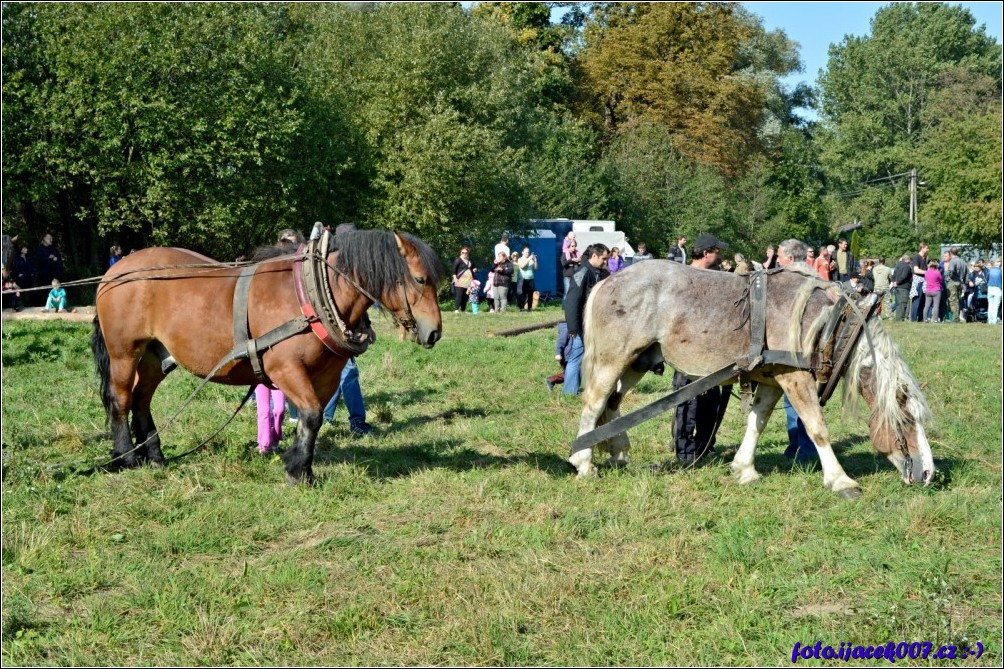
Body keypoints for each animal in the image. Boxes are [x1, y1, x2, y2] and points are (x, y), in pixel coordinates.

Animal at [91, 227, 443, 482]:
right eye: (420, 279)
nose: (434, 333)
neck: (311, 294)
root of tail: (114, 272)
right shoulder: (285, 368)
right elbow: (311, 415)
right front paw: (297, 470)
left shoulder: (327, 376)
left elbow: (312, 421)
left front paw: (303, 468)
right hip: (124, 352)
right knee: (121, 399)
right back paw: (127, 457)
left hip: (156, 356)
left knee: (142, 399)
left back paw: (155, 456)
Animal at [570, 259, 935, 494]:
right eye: (905, 421)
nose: (928, 473)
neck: (826, 322)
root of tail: (606, 281)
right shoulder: (794, 378)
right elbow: (816, 427)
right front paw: (840, 480)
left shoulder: (772, 380)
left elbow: (757, 421)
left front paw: (744, 468)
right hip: (613, 359)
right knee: (594, 403)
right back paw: (583, 463)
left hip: (637, 362)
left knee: (612, 404)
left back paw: (618, 451)